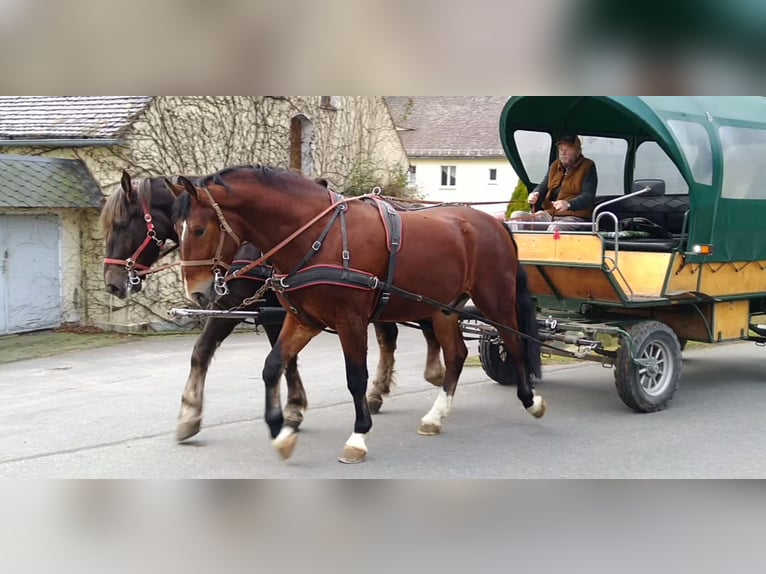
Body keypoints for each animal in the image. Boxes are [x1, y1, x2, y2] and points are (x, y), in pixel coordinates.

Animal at [100, 173, 444, 444]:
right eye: (176, 226)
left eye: (121, 224)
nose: (112, 283)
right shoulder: (240, 308)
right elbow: (203, 352)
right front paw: (189, 416)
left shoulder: (272, 311)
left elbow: (284, 360)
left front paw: (292, 409)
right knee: (392, 336)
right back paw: (382, 391)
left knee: (417, 330)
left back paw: (429, 375)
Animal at [172, 164, 544, 466]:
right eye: (177, 229)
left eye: (200, 229)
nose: (199, 293)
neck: (320, 236)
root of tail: (495, 223)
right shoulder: (303, 319)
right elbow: (273, 365)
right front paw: (281, 432)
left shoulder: (350, 322)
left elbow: (356, 378)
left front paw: (358, 437)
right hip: (445, 308)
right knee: (456, 355)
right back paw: (436, 416)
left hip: (495, 300)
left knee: (514, 342)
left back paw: (530, 399)